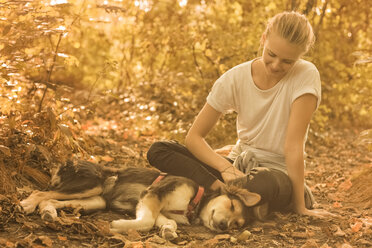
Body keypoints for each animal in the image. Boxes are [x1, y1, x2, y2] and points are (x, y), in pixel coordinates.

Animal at [19, 160, 258, 239]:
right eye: (231, 204)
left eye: (237, 225)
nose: (223, 226)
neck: (193, 204)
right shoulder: (152, 194)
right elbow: (146, 221)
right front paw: (116, 225)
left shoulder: (155, 206)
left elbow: (164, 222)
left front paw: (168, 231)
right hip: (92, 183)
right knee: (41, 193)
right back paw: (28, 204)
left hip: (97, 199)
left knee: (51, 200)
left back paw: (48, 212)